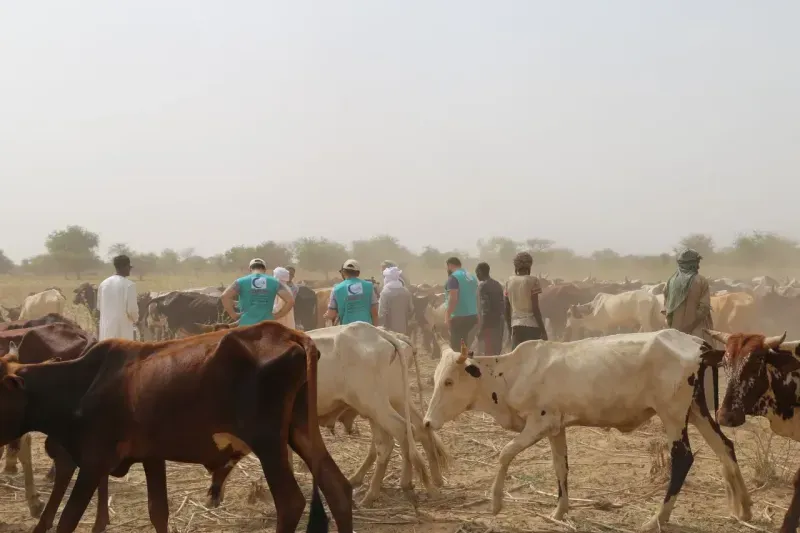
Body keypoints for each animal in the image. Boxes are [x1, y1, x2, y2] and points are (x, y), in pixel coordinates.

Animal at [0, 320, 354, 532]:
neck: (82, 383)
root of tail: (290, 334)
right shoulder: (151, 456)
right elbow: (158, 511)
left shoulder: (92, 463)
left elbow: (68, 519)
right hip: (300, 432)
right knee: (338, 488)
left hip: (268, 443)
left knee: (290, 503)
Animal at [422, 330, 752, 528]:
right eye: (436, 378)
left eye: (449, 381)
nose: (426, 422)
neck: (511, 373)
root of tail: (699, 345)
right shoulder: (556, 427)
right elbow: (560, 466)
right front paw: (560, 510)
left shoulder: (539, 422)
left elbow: (505, 454)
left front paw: (495, 502)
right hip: (696, 410)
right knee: (725, 447)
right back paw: (744, 509)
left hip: (672, 416)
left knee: (683, 459)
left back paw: (657, 519)